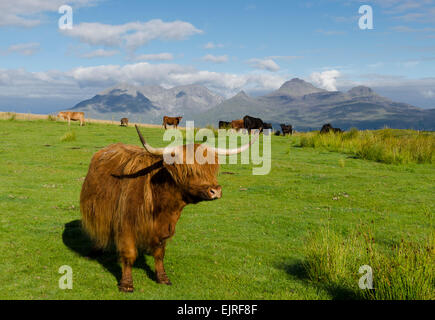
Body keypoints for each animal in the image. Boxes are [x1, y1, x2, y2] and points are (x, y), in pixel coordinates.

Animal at [79, 125, 258, 292]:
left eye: (211, 169)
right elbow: (129, 254)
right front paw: (127, 285)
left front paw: (162, 278)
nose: (216, 191)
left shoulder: (165, 227)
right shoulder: (126, 225)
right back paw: (95, 250)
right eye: (189, 169)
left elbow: (159, 254)